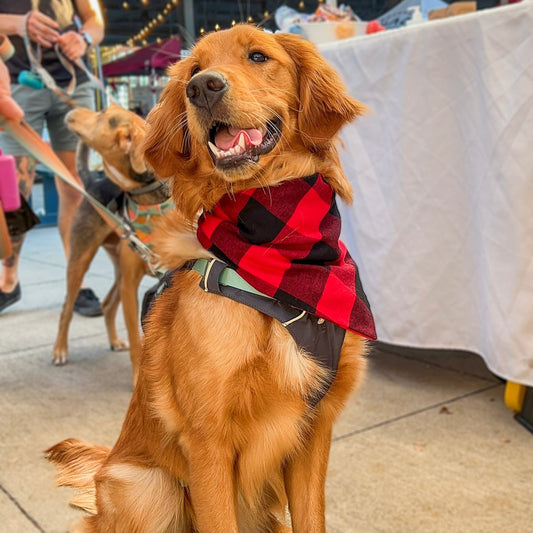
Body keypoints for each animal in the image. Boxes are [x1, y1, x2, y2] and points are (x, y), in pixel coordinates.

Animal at [52, 105, 170, 386]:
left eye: (102, 113)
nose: (72, 108)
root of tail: (93, 182)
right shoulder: (130, 285)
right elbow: (138, 341)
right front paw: (139, 378)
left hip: (117, 268)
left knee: (106, 305)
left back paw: (115, 341)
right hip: (80, 262)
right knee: (66, 309)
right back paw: (60, 350)